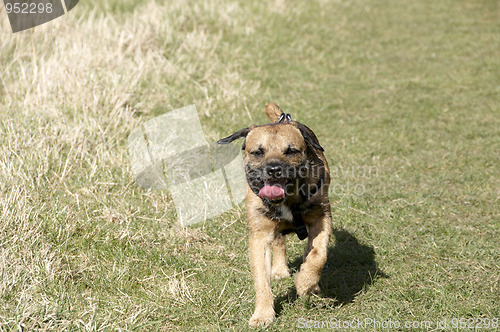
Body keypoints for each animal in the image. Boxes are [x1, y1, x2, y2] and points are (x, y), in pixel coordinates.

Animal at [218, 103, 332, 326]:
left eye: (291, 151)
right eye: (258, 152)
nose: (273, 169)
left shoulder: (321, 218)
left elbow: (317, 254)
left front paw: (305, 282)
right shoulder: (260, 235)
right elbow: (261, 279)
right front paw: (263, 314)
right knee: (279, 241)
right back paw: (279, 270)